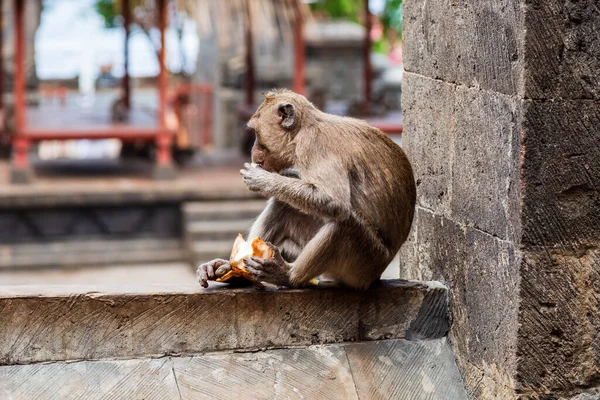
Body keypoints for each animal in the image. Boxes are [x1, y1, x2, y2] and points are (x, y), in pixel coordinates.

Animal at [199, 89, 414, 290]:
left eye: (255, 133)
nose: (252, 150)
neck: (303, 129)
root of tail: (374, 277)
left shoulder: (313, 145)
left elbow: (334, 202)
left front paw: (263, 180)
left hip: (364, 263)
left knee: (343, 223)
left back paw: (288, 276)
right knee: (286, 204)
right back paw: (235, 270)